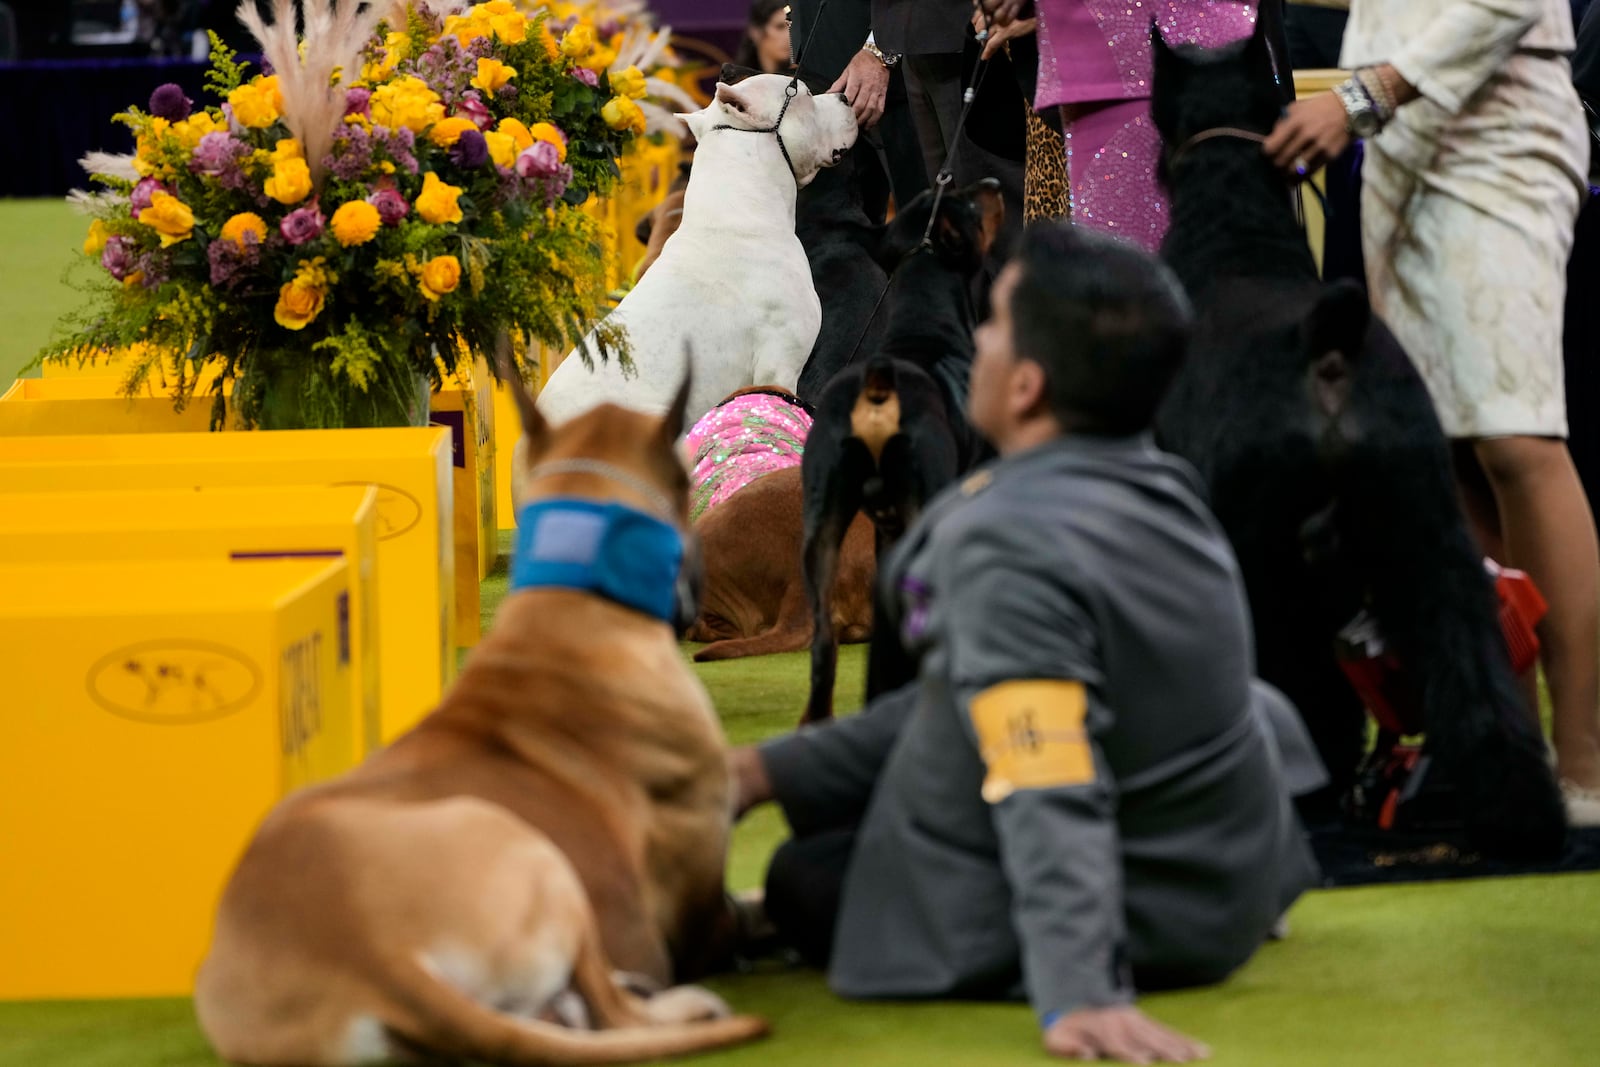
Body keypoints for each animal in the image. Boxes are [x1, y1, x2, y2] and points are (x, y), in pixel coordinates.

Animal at [193, 375, 768, 1067]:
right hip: (540, 859)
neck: (568, 617)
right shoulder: (700, 912)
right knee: (614, 1006)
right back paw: (678, 1002)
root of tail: (372, 950)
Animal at [1152, 22, 1561, 857]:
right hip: (1432, 532)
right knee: (1465, 661)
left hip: (1263, 546)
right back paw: (1516, 810)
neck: (1232, 230)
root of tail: (1330, 341)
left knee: (1287, 669)